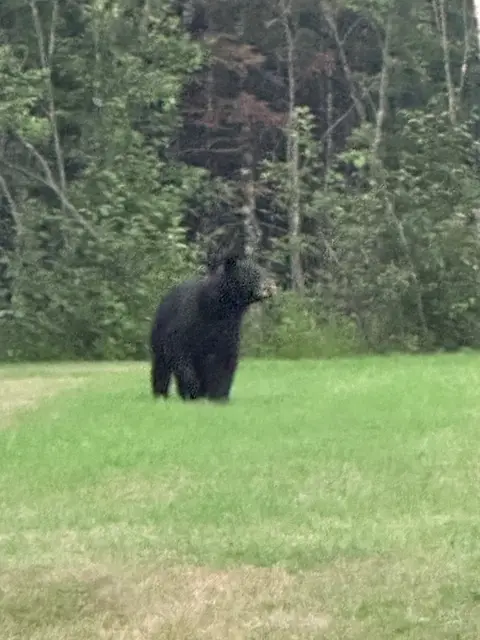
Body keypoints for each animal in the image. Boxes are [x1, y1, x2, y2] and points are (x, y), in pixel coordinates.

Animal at [150, 252, 277, 402]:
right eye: (253, 273)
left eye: (263, 271)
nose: (270, 286)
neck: (217, 309)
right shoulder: (187, 323)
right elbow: (180, 353)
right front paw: (193, 390)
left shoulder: (228, 331)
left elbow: (225, 360)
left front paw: (219, 396)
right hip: (159, 334)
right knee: (161, 366)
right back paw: (162, 394)